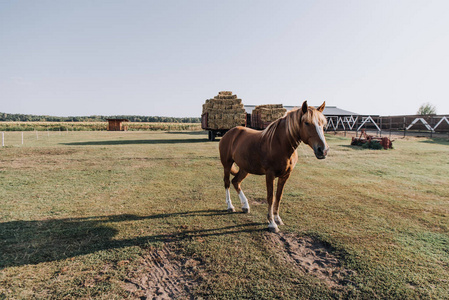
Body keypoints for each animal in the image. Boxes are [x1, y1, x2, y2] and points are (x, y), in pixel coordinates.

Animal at [219, 101, 328, 232]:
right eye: (307, 122)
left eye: (323, 124)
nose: (323, 150)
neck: (280, 144)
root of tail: (229, 133)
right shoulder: (270, 175)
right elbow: (270, 197)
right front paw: (271, 223)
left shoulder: (285, 176)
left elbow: (278, 196)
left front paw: (277, 219)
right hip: (227, 165)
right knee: (227, 183)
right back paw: (230, 206)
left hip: (245, 169)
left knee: (236, 182)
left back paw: (245, 206)